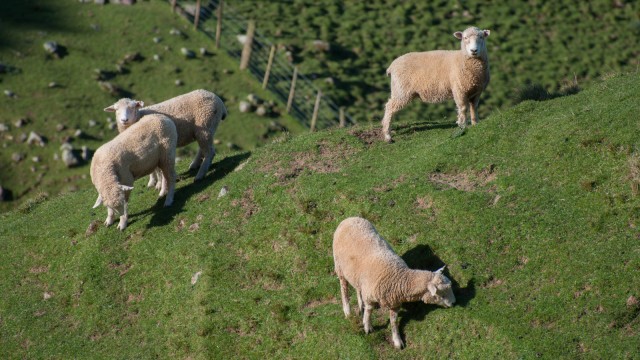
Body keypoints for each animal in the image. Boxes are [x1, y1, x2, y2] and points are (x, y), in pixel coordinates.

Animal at [332, 217, 458, 348]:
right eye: (441, 294)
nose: (454, 303)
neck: (398, 277)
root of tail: (350, 218)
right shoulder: (370, 296)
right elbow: (369, 310)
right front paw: (367, 326)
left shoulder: (394, 302)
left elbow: (393, 321)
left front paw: (397, 340)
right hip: (339, 266)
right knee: (344, 287)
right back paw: (347, 310)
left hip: (356, 273)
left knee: (357, 286)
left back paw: (359, 302)